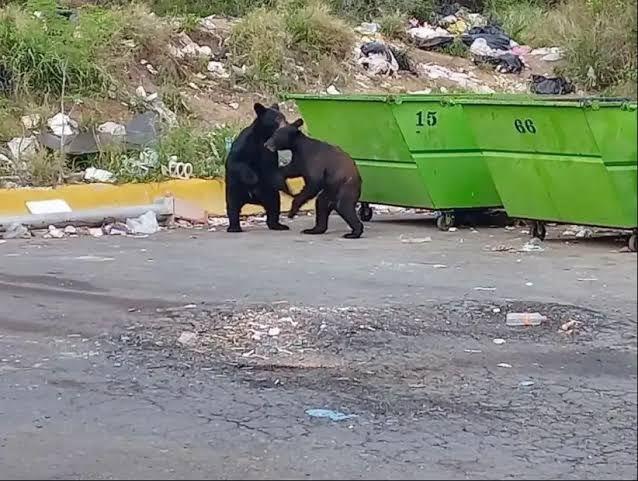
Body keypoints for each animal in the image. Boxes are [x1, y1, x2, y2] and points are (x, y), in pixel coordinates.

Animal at [224, 102, 294, 232]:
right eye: (277, 119)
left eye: (284, 117)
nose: (287, 124)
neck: (263, 138)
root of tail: (252, 200)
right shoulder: (245, 143)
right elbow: (235, 162)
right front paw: (253, 178)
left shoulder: (270, 153)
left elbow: (272, 170)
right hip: (234, 190)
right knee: (233, 207)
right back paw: (234, 227)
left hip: (269, 192)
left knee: (274, 206)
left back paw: (277, 225)